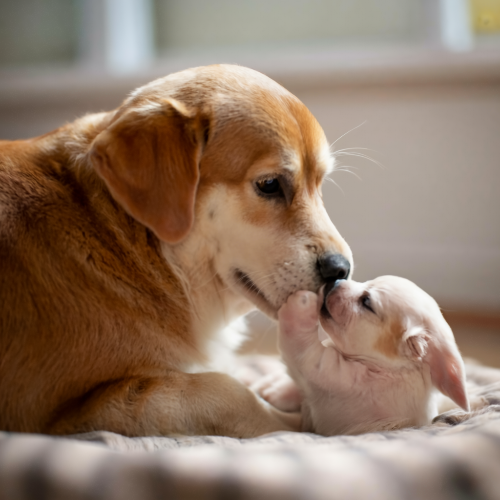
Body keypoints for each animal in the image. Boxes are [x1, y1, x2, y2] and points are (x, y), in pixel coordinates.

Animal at [264, 276, 470, 436]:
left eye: (366, 301)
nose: (335, 280)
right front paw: (275, 391)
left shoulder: (331, 377)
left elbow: (304, 351)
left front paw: (302, 302)